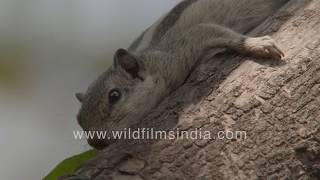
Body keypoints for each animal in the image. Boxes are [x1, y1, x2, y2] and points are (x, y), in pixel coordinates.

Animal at [74, 0, 288, 149]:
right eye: (79, 119)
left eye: (114, 96)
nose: (95, 143)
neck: (153, 61)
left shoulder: (182, 48)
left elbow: (215, 32)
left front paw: (256, 44)